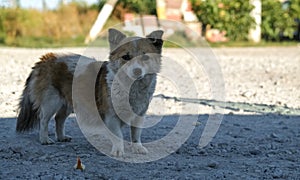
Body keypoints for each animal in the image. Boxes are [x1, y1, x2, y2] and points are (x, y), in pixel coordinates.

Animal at [16, 28, 164, 156]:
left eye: (145, 58)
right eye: (126, 57)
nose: (137, 71)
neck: (131, 88)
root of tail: (46, 58)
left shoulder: (139, 115)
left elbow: (136, 134)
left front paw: (137, 148)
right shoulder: (111, 116)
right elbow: (118, 135)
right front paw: (118, 150)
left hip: (68, 103)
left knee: (59, 119)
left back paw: (62, 137)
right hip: (51, 102)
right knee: (44, 120)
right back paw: (44, 139)